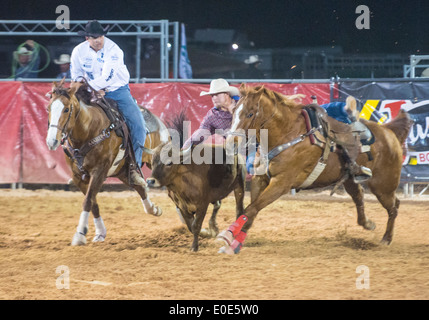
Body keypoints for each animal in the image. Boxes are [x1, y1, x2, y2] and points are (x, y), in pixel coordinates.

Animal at [45, 80, 166, 245]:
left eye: (66, 109)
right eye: (48, 108)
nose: (52, 141)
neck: (90, 130)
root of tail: (159, 121)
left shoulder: (99, 172)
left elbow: (88, 200)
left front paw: (79, 234)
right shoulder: (78, 177)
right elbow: (93, 203)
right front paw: (100, 232)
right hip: (123, 171)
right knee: (140, 188)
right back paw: (153, 209)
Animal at [216, 84, 412, 255]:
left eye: (250, 113)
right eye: (234, 111)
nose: (231, 143)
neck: (289, 133)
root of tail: (388, 131)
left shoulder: (281, 183)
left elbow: (251, 209)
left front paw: (227, 235)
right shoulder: (260, 179)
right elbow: (250, 211)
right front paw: (235, 243)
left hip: (383, 185)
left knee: (394, 206)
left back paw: (386, 239)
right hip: (351, 180)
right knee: (359, 197)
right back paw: (368, 224)